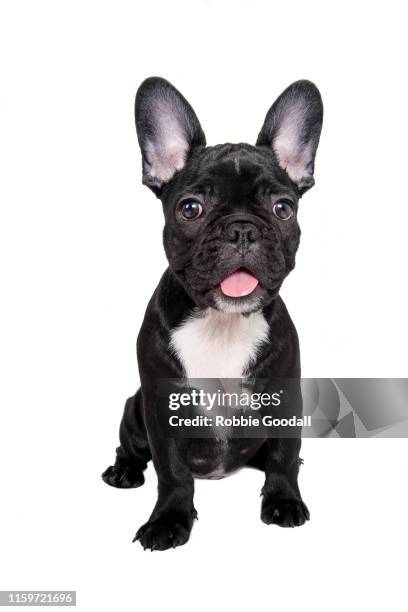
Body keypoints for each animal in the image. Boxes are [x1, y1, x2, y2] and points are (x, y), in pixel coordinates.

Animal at [103, 76, 326, 548]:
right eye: (191, 208)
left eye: (283, 208)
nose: (241, 229)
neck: (221, 323)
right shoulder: (161, 406)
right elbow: (171, 472)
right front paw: (169, 520)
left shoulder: (284, 396)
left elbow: (283, 454)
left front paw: (283, 500)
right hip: (133, 411)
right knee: (131, 449)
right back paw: (123, 471)